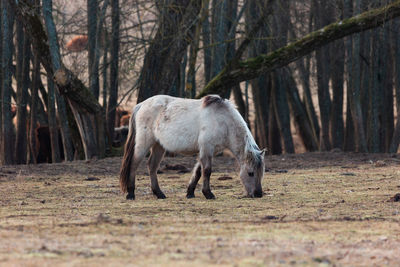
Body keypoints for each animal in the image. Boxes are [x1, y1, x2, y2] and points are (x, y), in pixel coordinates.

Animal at [120, 95, 268, 200]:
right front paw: (208, 194)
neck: (223, 121)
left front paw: (190, 192)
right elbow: (207, 171)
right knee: (134, 163)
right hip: (144, 143)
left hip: (159, 146)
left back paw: (159, 193)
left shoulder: (208, 151)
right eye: (250, 173)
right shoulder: (207, 148)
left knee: (152, 166)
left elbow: (198, 171)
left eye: (262, 172)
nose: (258, 194)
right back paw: (131, 193)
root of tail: (141, 104)